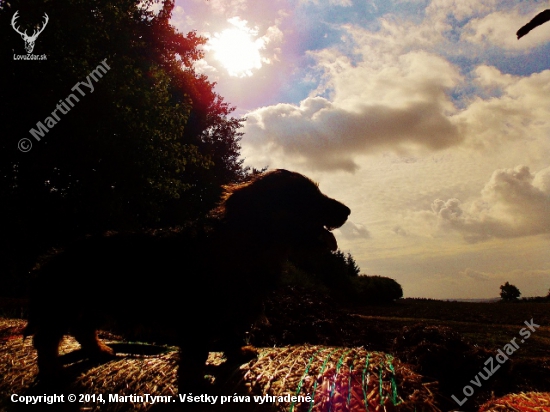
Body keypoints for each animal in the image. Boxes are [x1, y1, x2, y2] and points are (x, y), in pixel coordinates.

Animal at [24, 169, 350, 388]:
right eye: (306, 196)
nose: (347, 210)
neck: (249, 243)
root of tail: (51, 256)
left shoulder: (237, 310)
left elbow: (233, 334)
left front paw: (238, 352)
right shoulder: (198, 316)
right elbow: (197, 352)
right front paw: (193, 380)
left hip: (93, 305)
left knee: (82, 329)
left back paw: (99, 350)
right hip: (63, 305)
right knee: (47, 339)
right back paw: (52, 371)